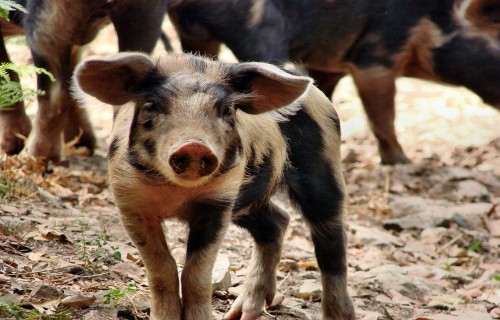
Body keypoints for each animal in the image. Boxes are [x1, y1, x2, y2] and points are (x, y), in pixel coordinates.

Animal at [74, 51, 356, 318]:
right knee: (277, 221)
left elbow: (196, 275)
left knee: (331, 241)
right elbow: (162, 269)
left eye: (227, 110)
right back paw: (240, 315)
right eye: (152, 105)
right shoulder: (130, 202)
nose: (194, 145)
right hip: (248, 202)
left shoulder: (218, 202)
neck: (176, 195)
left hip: (323, 167)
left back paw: (339, 314)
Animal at [168, 0, 500, 165]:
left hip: (194, 33)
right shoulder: (376, 56)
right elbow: (384, 117)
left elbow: (323, 96)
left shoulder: (329, 65)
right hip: (263, 29)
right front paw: (404, 163)